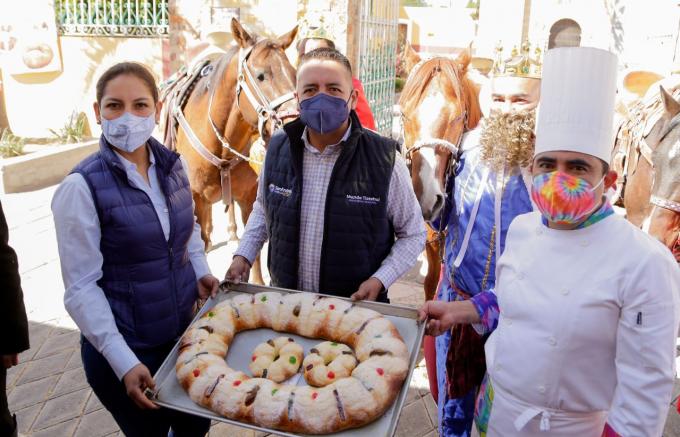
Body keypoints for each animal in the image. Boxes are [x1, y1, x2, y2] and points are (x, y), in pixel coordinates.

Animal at [165, 18, 298, 282]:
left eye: (294, 74)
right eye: (261, 75)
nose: (297, 122)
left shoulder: (248, 198)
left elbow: (252, 254)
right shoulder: (196, 200)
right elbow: (200, 244)